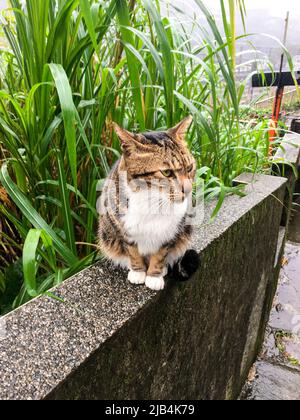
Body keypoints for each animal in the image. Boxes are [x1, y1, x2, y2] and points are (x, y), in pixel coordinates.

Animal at [98, 116, 200, 290]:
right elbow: (132, 250)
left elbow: (160, 254)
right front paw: (138, 272)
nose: (187, 190)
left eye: (189, 167)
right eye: (167, 172)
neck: (153, 200)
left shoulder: (170, 233)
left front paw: (154, 275)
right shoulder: (123, 228)